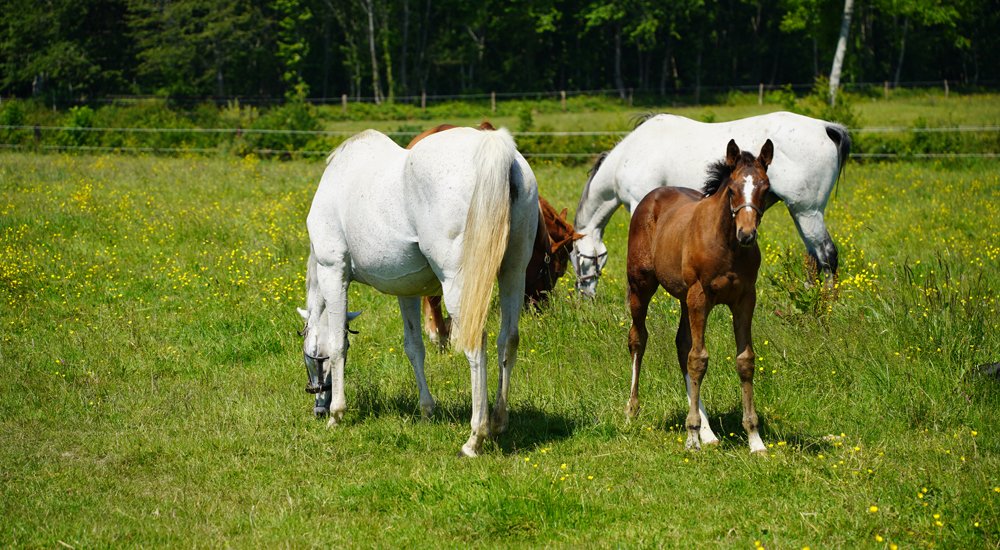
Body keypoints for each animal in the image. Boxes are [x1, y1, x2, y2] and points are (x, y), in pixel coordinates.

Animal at [299, 126, 538, 457]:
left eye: (308, 356)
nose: (318, 407)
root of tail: (494, 148)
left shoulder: (333, 272)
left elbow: (337, 345)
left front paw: (337, 414)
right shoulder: (407, 290)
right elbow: (414, 347)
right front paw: (427, 410)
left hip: (460, 284)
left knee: (476, 344)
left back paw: (475, 437)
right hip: (514, 271)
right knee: (508, 340)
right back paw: (499, 421)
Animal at [572, 111, 850, 297]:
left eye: (576, 257)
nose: (584, 296)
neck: (630, 155)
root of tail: (827, 128)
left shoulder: (639, 204)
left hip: (807, 212)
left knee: (827, 255)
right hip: (801, 212)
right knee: (814, 258)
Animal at [625, 138, 774, 454]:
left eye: (765, 188)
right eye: (732, 190)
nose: (746, 234)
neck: (727, 245)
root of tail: (653, 195)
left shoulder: (745, 299)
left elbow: (744, 360)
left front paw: (755, 439)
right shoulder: (700, 297)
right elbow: (699, 359)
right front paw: (691, 436)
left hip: (684, 298)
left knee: (682, 345)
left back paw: (708, 432)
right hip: (641, 286)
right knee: (638, 338)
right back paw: (632, 411)